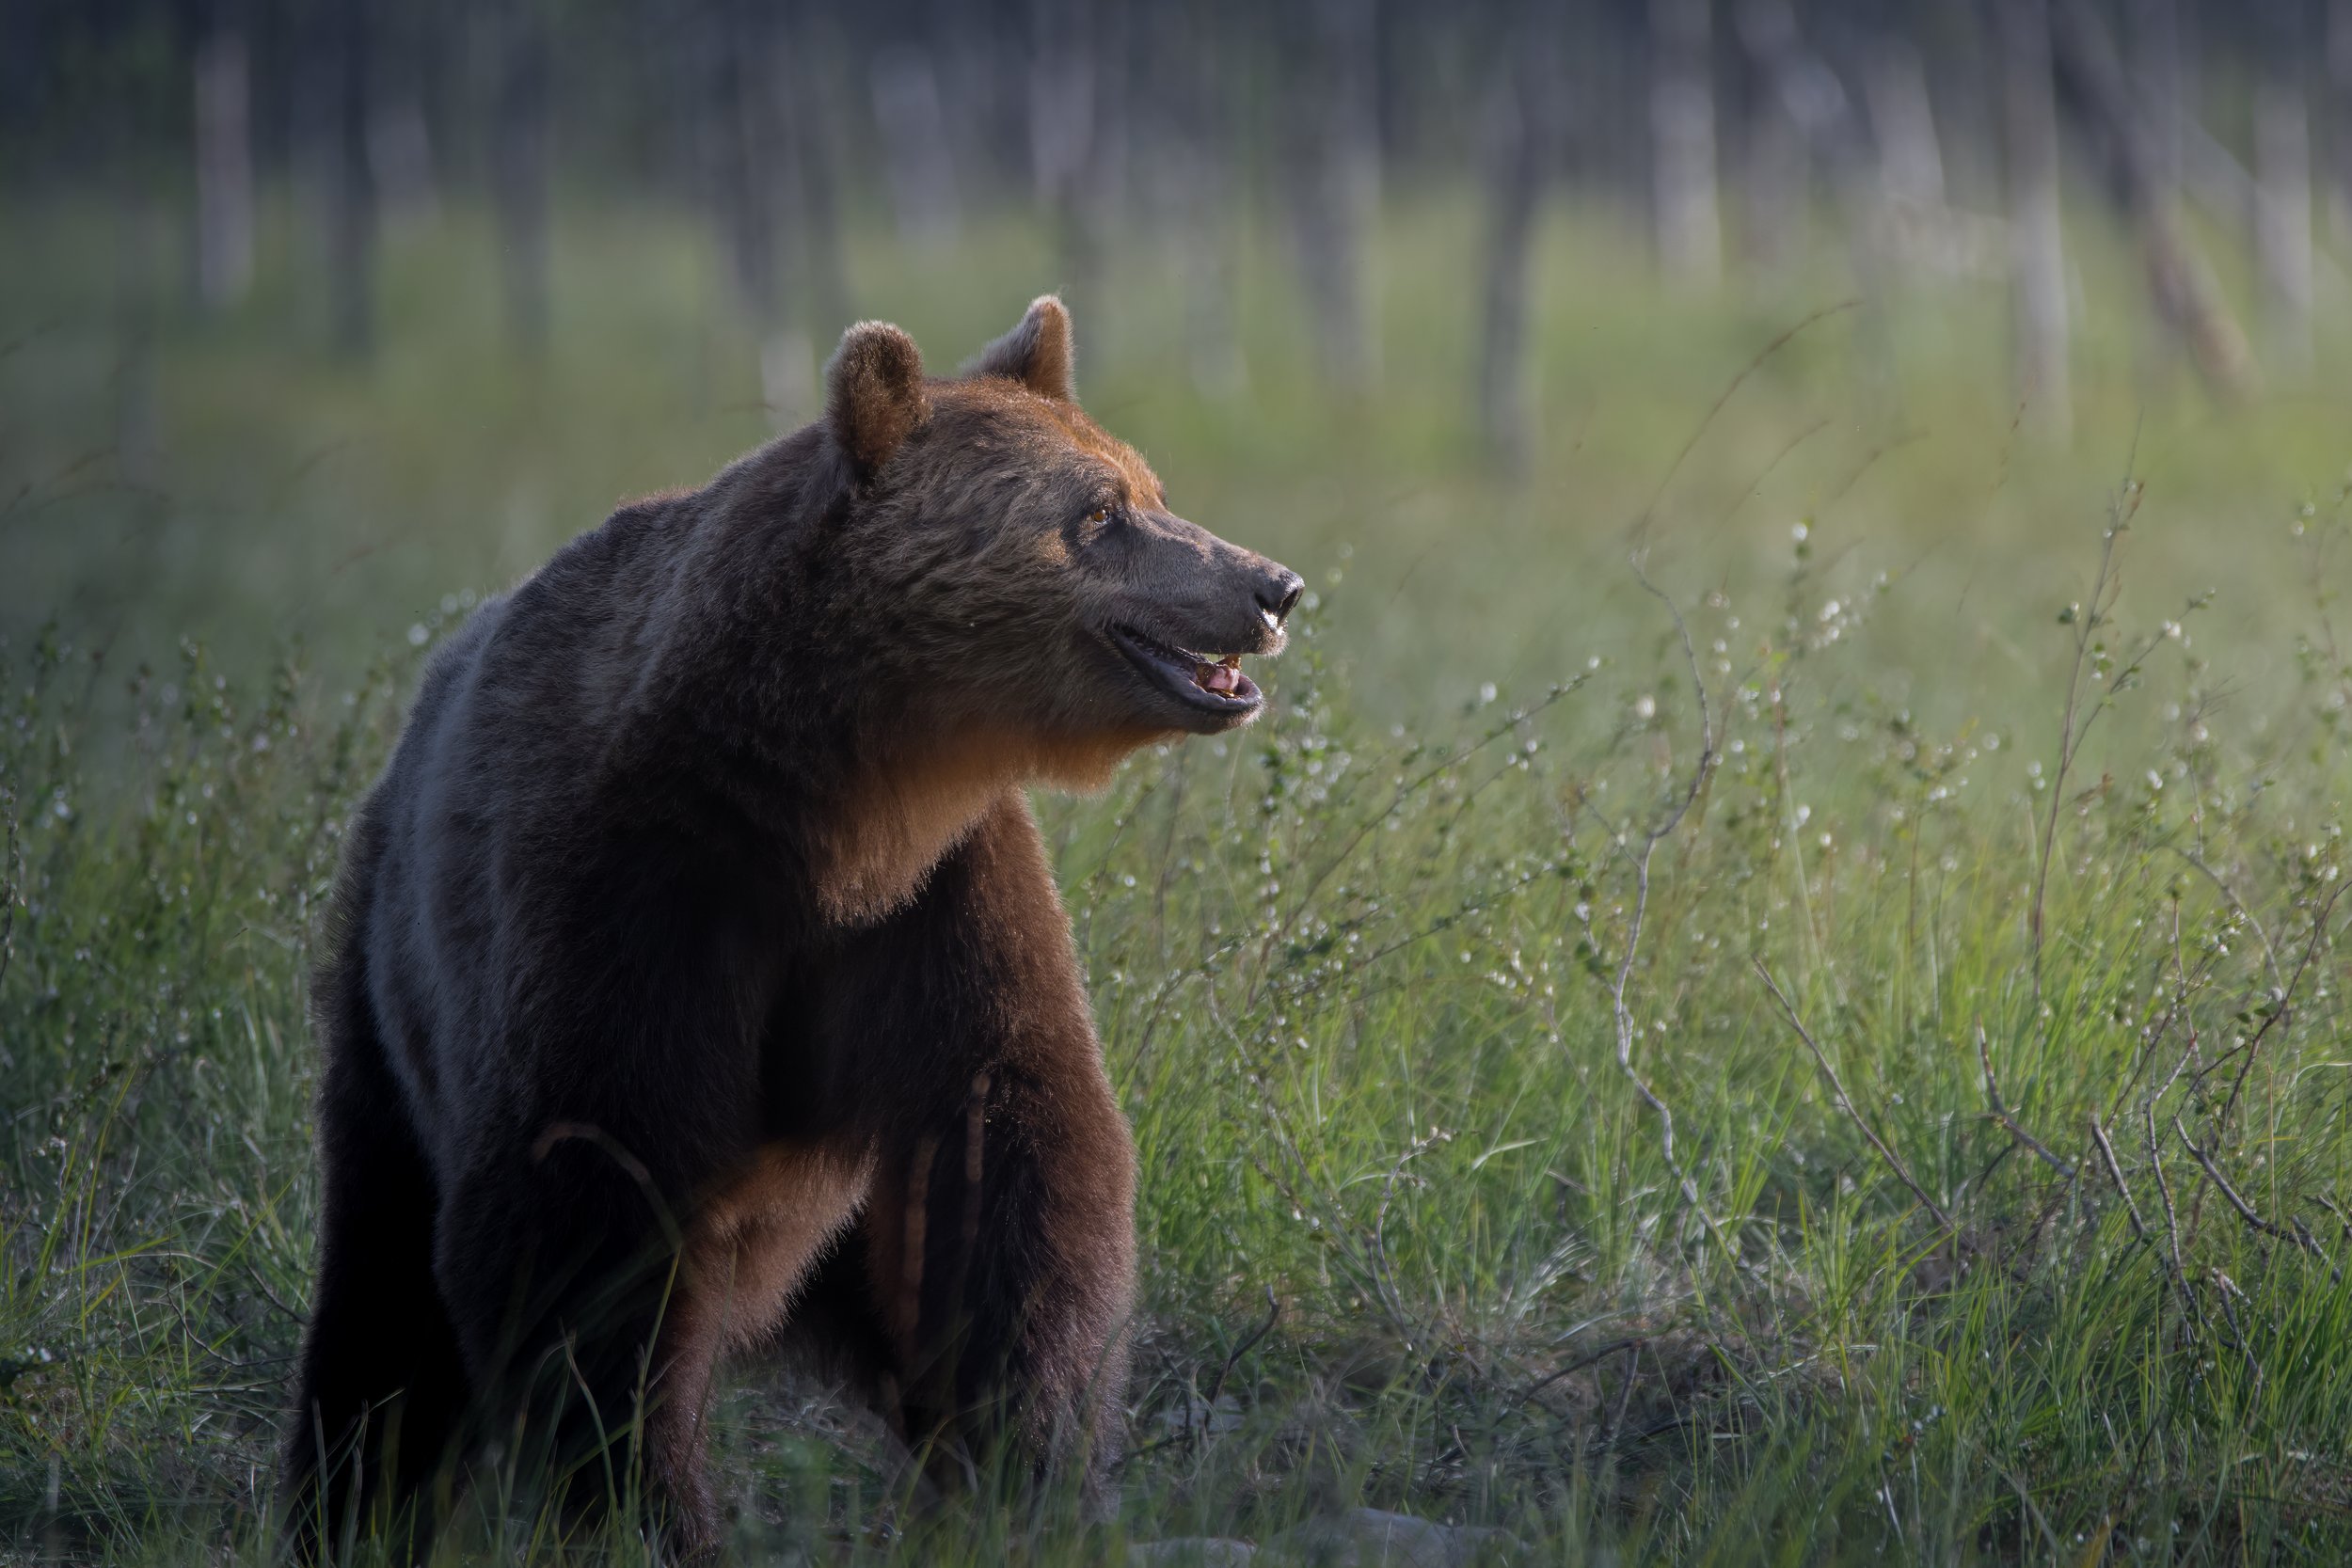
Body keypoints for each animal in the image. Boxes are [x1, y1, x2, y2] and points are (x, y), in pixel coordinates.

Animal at [277, 296, 1302, 1560]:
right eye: (1100, 512)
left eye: (1146, 483)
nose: (1270, 585)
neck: (831, 804)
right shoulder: (627, 893)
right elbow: (584, 1201)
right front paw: (643, 1503)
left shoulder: (935, 904)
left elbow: (1012, 1159)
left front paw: (1031, 1463)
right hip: (392, 998)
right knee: (383, 1306)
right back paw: (354, 1504)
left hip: (835, 1228)